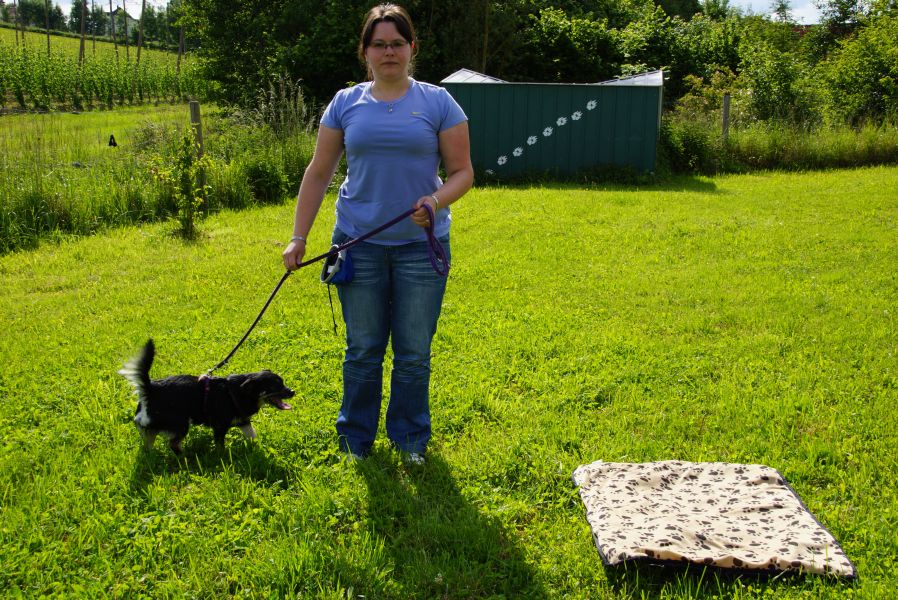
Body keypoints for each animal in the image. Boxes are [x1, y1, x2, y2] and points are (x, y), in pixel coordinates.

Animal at [118, 339, 294, 454]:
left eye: (283, 382)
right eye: (275, 386)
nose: (292, 392)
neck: (240, 391)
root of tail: (150, 389)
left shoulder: (243, 422)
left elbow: (253, 436)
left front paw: (258, 449)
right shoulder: (220, 427)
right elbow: (220, 446)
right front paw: (223, 457)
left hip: (151, 428)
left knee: (148, 444)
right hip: (180, 424)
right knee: (173, 443)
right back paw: (184, 457)